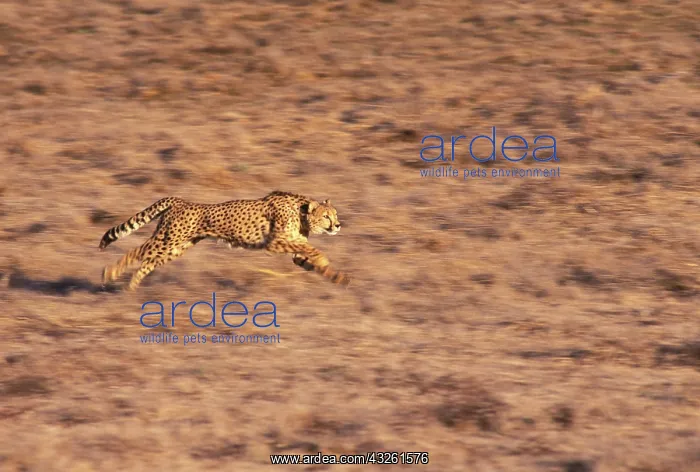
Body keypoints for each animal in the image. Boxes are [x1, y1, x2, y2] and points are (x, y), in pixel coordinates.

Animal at [98, 191, 350, 291]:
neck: (302, 212)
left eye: (335, 214)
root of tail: (180, 200)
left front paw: (339, 277)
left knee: (147, 262)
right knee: (137, 251)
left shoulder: (294, 252)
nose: (338, 225)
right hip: (167, 240)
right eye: (327, 216)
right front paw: (324, 259)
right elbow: (311, 249)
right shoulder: (273, 243)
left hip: (176, 248)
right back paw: (109, 273)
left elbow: (308, 258)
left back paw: (131, 288)